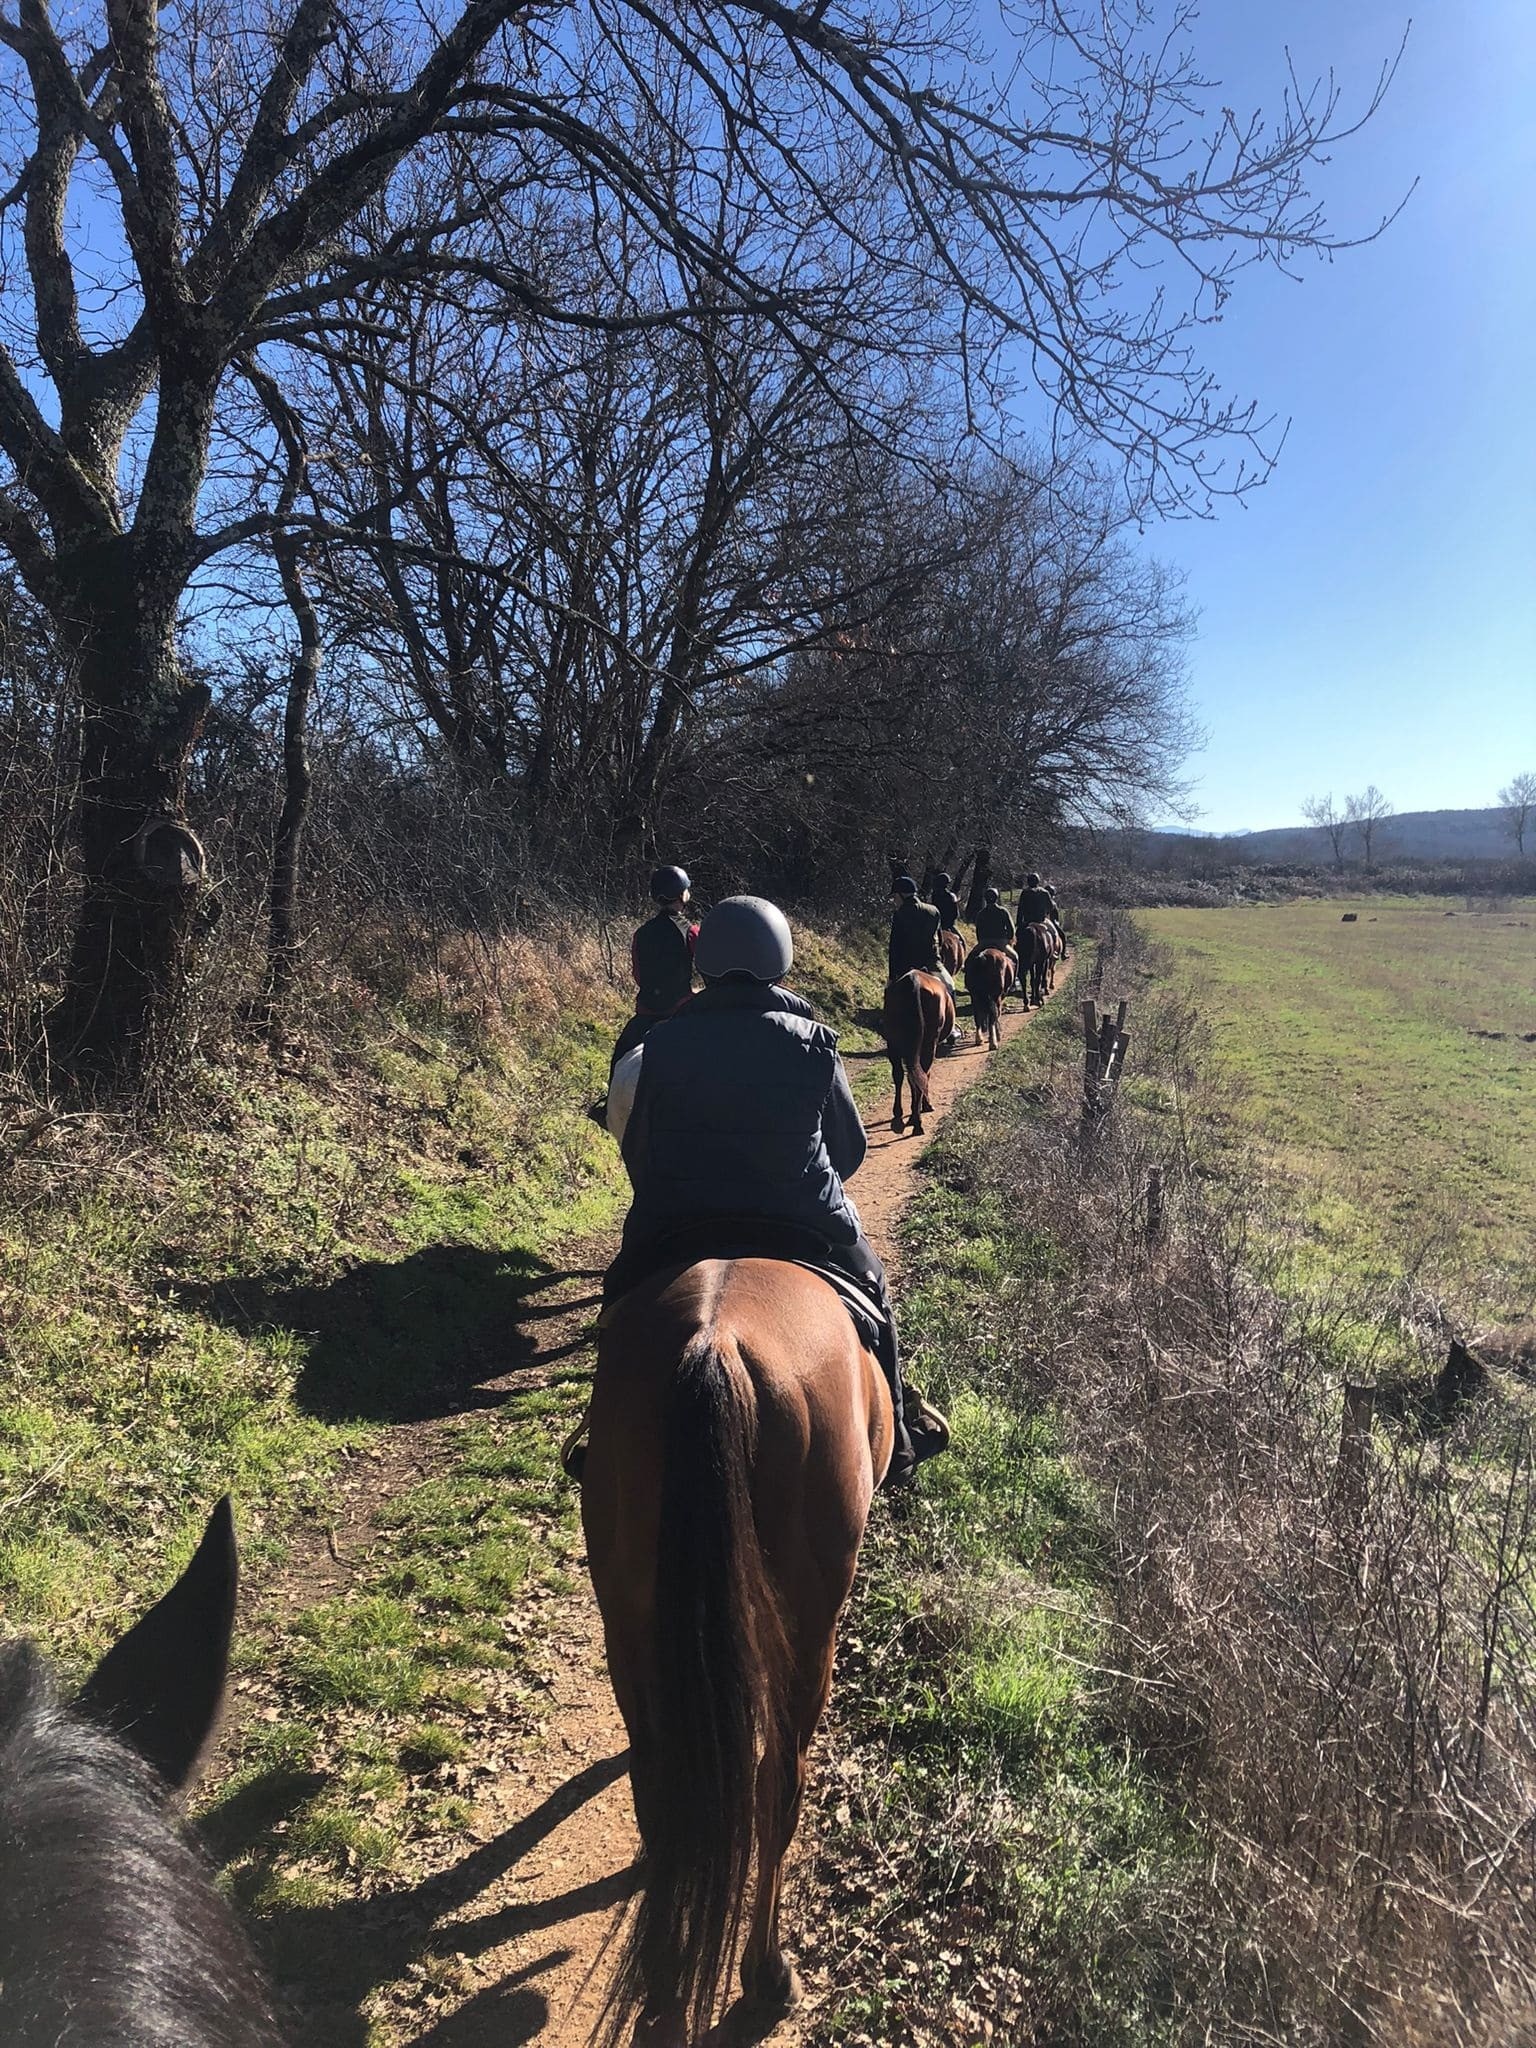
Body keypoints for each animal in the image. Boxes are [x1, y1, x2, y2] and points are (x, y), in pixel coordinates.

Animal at [583, 1258, 894, 2048]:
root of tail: (714, 1346)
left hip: (625, 1606)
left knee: (658, 1782)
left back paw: (665, 1984)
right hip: (811, 1626)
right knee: (776, 1782)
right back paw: (767, 1975)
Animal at [881, 968, 954, 1135]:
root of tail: (913, 981)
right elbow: (925, 1075)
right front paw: (925, 1106)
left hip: (893, 1043)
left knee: (900, 1074)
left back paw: (900, 1113)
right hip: (929, 1043)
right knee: (923, 1073)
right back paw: (917, 1122)